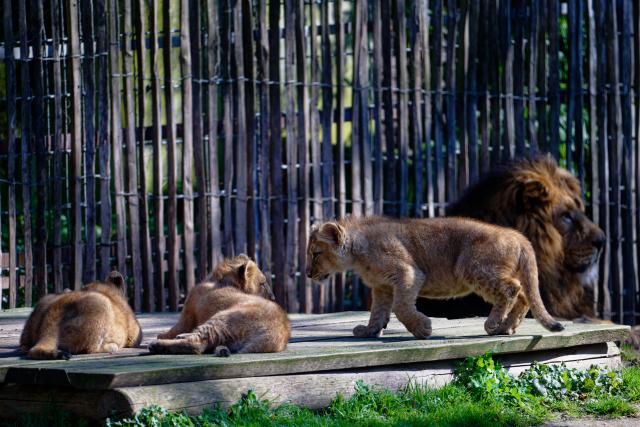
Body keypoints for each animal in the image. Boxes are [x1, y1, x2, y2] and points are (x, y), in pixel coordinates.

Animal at [149, 254, 290, 356]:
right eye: (262, 284)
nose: (273, 297)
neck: (221, 281)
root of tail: (278, 334)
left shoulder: (187, 315)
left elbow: (175, 328)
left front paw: (162, 335)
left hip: (222, 319)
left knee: (197, 345)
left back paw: (156, 345)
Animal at [306, 216, 564, 339]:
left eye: (315, 254)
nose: (308, 273)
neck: (357, 253)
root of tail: (518, 235)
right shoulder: (382, 287)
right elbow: (378, 312)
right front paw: (370, 331)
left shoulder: (408, 273)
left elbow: (401, 307)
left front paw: (423, 329)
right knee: (524, 296)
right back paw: (506, 328)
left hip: (473, 268)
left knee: (512, 289)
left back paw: (493, 324)